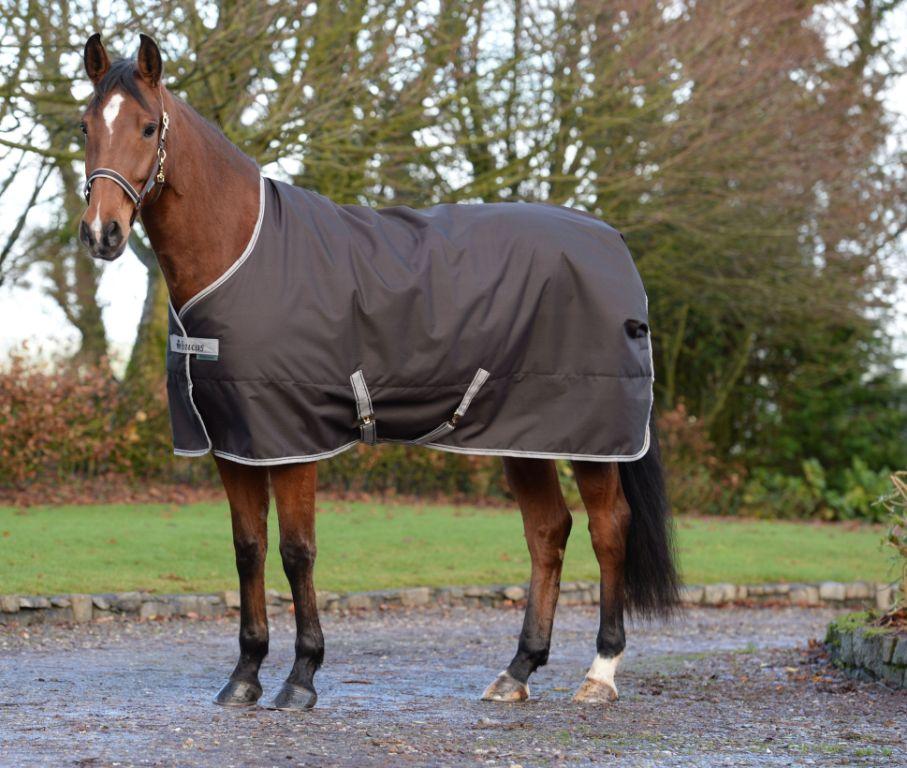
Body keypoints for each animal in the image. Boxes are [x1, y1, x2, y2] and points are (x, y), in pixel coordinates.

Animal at [78, 33, 678, 710]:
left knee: (609, 530)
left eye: (148, 127)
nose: (101, 233)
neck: (240, 253)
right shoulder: (235, 442)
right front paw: (244, 675)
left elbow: (297, 552)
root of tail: (612, 241)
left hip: (593, 439)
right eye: (85, 127)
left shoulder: (292, 440)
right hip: (524, 437)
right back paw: (517, 671)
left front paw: (301, 678)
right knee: (549, 532)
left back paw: (600, 673)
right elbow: (248, 550)